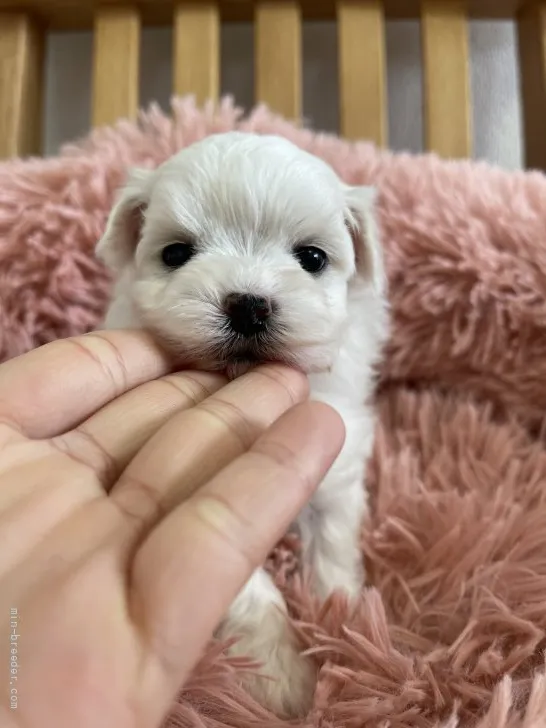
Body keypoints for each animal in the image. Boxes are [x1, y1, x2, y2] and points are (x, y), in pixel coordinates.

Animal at [94, 131, 386, 716]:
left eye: (312, 257)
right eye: (176, 254)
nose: (249, 305)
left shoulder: (339, 456)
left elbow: (332, 542)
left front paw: (342, 620)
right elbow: (249, 591)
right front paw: (282, 679)